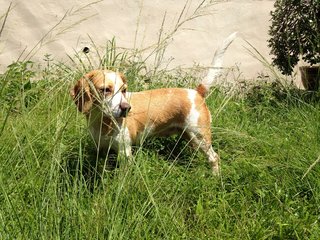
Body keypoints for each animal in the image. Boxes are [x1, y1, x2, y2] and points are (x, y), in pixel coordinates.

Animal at [71, 32, 236, 174]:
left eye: (124, 90)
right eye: (105, 89)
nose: (127, 108)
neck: (102, 122)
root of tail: (197, 92)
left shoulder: (125, 152)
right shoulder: (101, 149)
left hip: (200, 137)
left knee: (214, 158)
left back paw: (215, 176)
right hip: (191, 137)